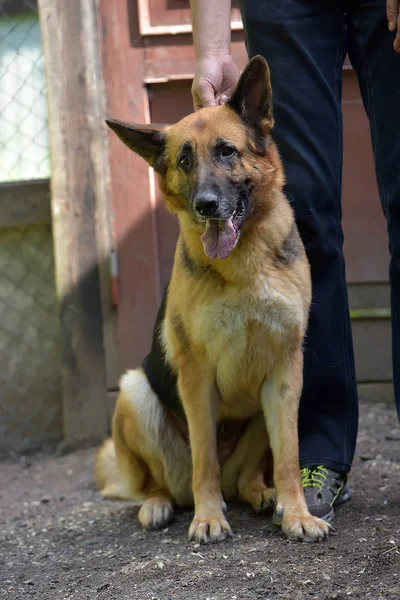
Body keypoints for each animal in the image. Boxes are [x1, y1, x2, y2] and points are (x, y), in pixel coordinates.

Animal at [94, 55, 332, 544]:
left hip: (260, 411)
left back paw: (262, 494)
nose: (206, 205)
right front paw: (208, 518)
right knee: (163, 481)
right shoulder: (196, 377)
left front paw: (298, 514)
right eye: (184, 160)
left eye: (227, 151)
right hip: (134, 392)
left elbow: (288, 457)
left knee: (243, 477)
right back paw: (162, 504)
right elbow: (205, 456)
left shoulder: (286, 372)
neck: (243, 266)